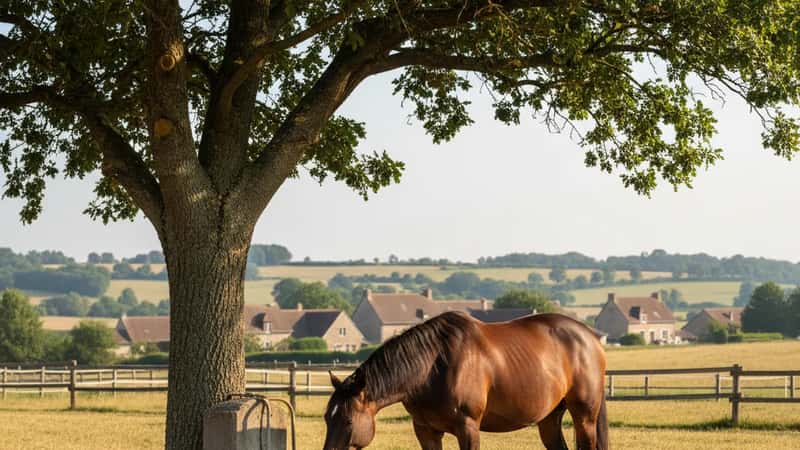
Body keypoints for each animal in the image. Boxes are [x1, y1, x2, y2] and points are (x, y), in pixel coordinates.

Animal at [322, 311, 608, 450]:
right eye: (327, 418)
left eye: (348, 420)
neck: (432, 367)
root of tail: (590, 337)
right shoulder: (425, 431)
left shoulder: (468, 427)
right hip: (549, 418)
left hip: (584, 417)